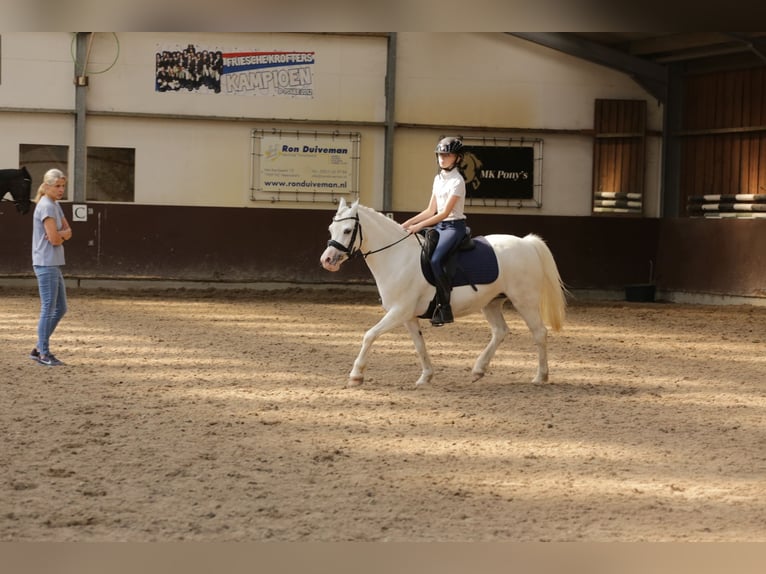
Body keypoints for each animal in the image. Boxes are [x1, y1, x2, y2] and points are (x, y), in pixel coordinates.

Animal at [320, 200, 568, 390]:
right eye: (330, 229)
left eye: (348, 230)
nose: (327, 260)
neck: (397, 256)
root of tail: (526, 243)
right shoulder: (407, 316)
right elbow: (419, 345)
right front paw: (426, 377)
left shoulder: (399, 312)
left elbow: (369, 335)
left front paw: (356, 375)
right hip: (491, 302)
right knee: (500, 331)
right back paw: (478, 370)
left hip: (524, 300)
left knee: (539, 333)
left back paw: (540, 377)